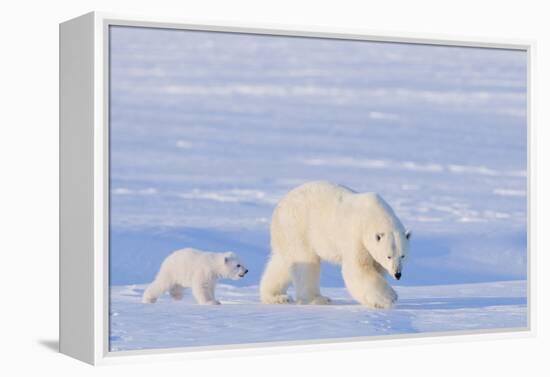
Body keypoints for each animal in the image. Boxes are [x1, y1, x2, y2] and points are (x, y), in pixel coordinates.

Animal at [260, 181, 412, 306]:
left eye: (403, 256)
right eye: (388, 256)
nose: (398, 274)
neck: (373, 216)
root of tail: (279, 206)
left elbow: (375, 268)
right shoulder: (356, 236)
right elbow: (358, 269)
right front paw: (391, 296)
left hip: (287, 234)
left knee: (283, 263)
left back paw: (275, 296)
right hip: (298, 227)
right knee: (306, 262)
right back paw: (318, 298)